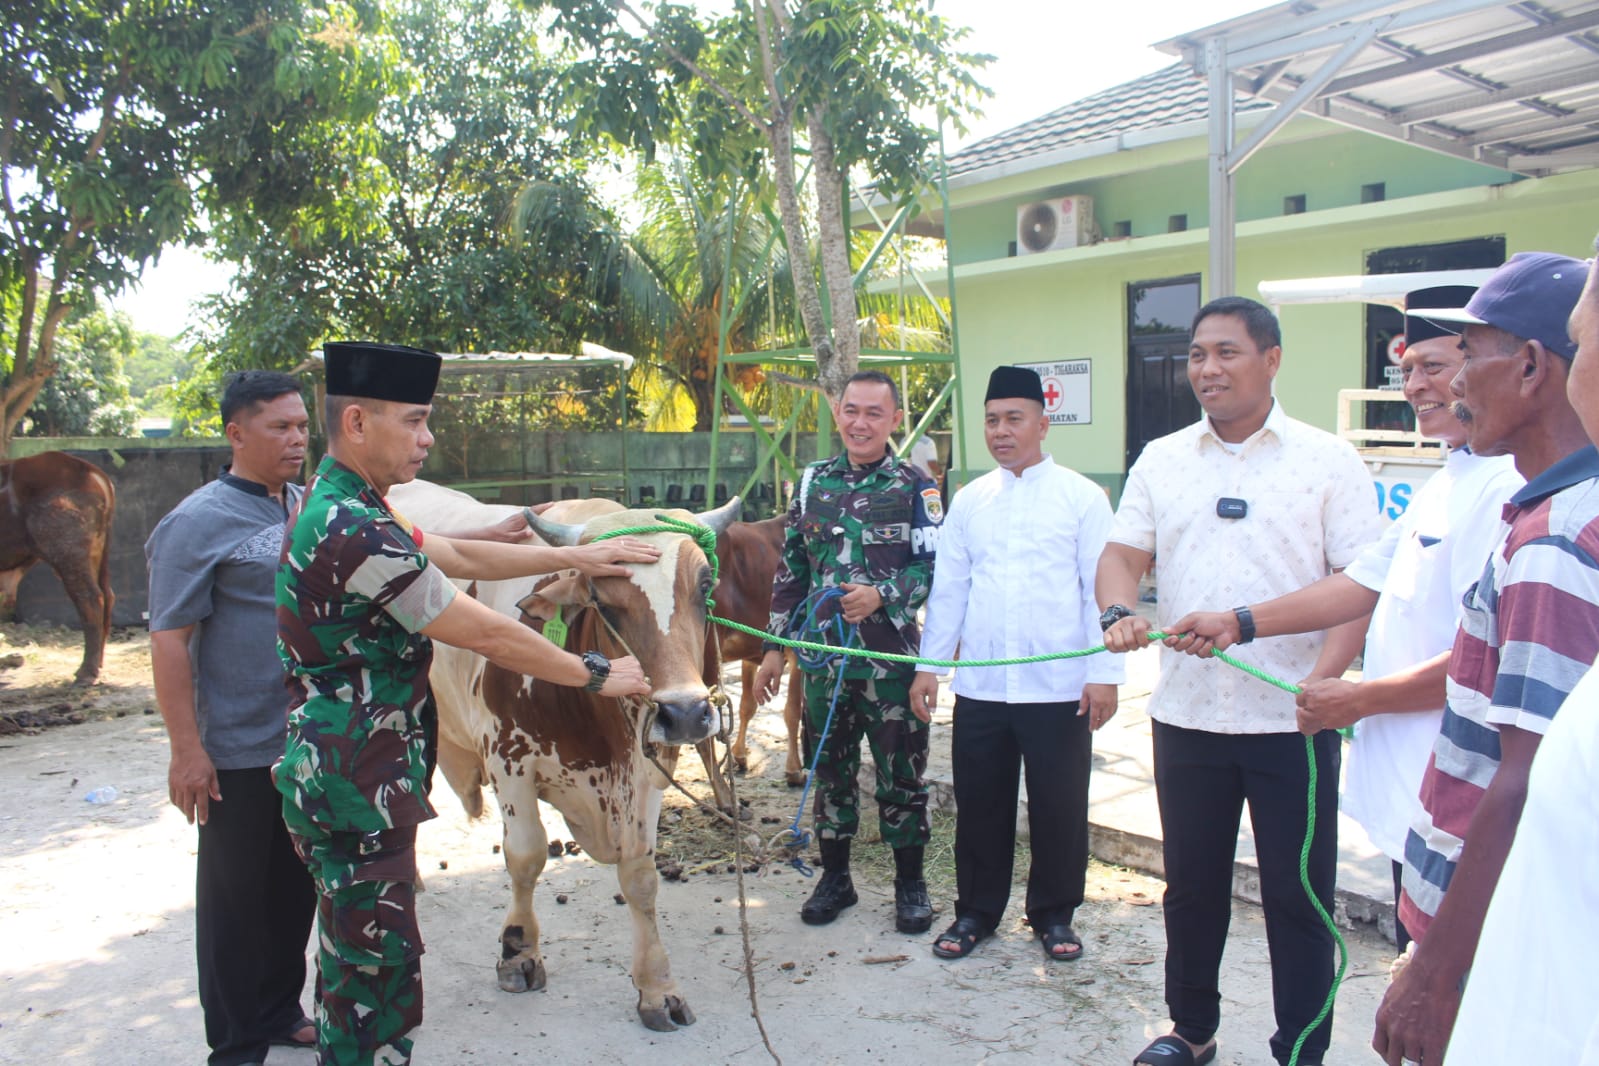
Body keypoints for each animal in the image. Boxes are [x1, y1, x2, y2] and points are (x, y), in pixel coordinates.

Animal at [0, 450, 115, 684]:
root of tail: (87, 469)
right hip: (94, 557)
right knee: (107, 596)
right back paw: (97, 663)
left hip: (68, 557)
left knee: (90, 599)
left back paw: (86, 671)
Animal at [386, 482, 735, 1035]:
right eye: (602, 598)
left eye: (704, 587)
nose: (684, 712)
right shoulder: (508, 761)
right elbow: (526, 856)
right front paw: (518, 952)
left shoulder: (643, 774)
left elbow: (641, 876)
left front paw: (658, 988)